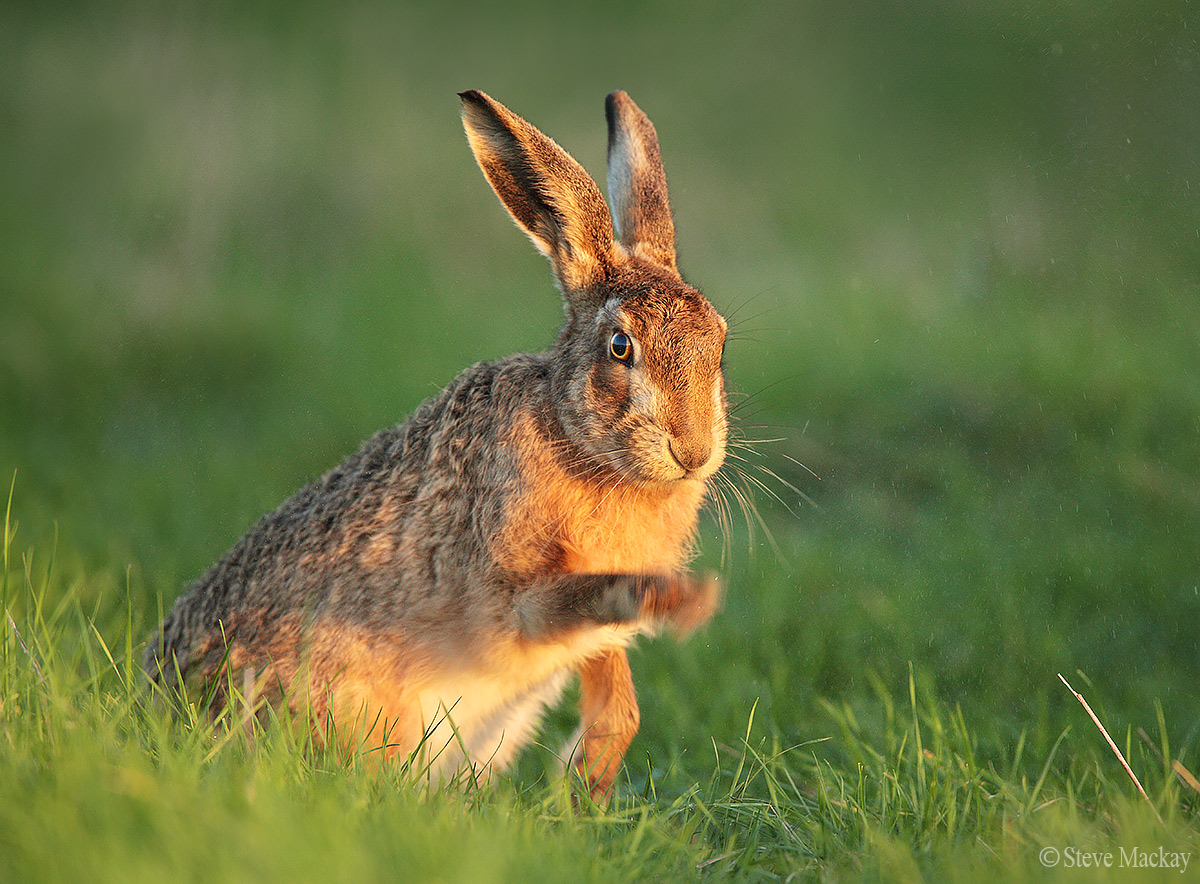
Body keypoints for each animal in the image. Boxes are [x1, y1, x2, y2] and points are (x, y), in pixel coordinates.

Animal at [144, 89, 728, 802]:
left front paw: (586, 781)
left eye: (719, 339)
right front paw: (680, 601)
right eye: (621, 347)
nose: (693, 451)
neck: (577, 439)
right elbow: (578, 601)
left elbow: (616, 695)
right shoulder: (512, 589)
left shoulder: (590, 641)